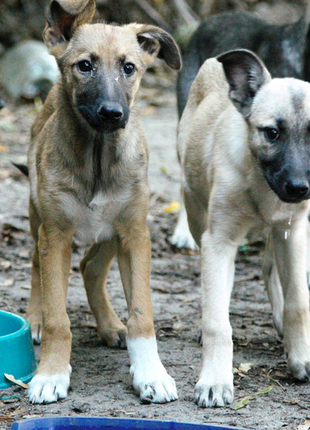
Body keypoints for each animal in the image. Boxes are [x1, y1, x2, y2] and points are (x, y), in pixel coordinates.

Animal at [26, 0, 182, 404]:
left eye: (129, 67)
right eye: (85, 65)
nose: (113, 113)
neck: (97, 156)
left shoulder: (135, 233)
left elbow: (142, 312)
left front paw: (151, 373)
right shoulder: (56, 234)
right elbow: (58, 318)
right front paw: (50, 373)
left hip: (112, 230)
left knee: (91, 267)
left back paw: (112, 325)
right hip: (37, 217)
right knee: (36, 263)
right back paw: (33, 318)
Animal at [178, 49, 310, 406]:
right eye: (272, 133)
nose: (300, 188)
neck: (262, 186)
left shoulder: (293, 232)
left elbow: (298, 301)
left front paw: (301, 356)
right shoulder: (218, 240)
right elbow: (216, 321)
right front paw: (215, 381)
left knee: (268, 267)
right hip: (195, 212)